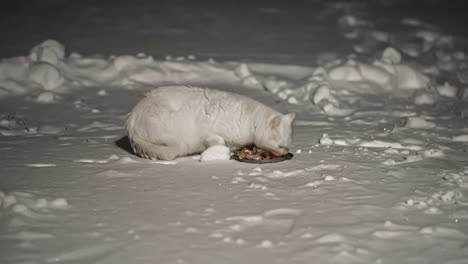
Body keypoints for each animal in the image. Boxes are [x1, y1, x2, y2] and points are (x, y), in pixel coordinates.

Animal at [126, 86, 294, 160]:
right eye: (280, 146)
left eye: (287, 145)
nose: (285, 150)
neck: (251, 119)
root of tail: (132, 121)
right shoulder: (207, 130)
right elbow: (219, 141)